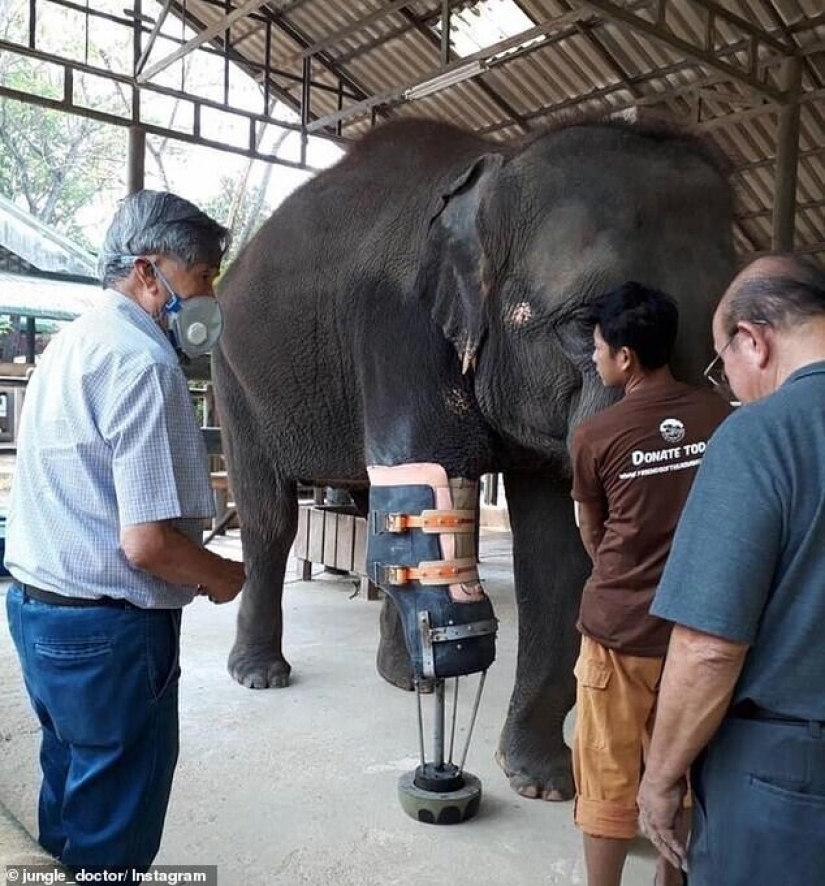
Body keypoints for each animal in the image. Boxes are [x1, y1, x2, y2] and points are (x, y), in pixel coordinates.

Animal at [212, 115, 735, 801]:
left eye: (719, 350)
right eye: (585, 324)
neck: (496, 169)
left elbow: (554, 553)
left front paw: (541, 782)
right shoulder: (398, 323)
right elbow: (434, 513)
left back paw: (404, 678)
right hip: (233, 375)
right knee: (271, 518)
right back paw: (262, 675)